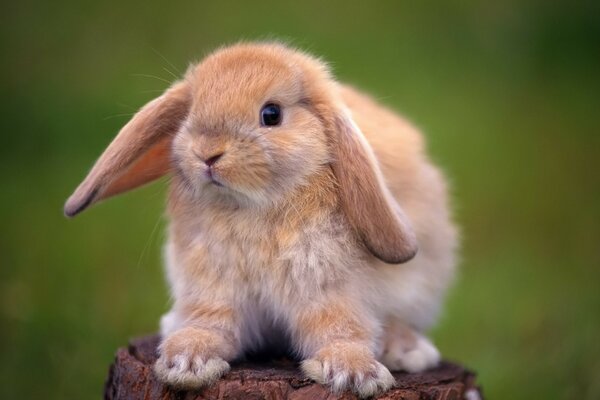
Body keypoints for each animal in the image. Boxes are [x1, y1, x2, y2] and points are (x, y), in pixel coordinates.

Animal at [65, 42, 458, 398]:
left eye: (271, 114)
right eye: (191, 111)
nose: (207, 153)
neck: (251, 206)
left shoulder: (329, 288)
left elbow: (339, 328)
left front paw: (356, 375)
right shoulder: (212, 285)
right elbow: (211, 324)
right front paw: (186, 362)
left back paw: (407, 351)